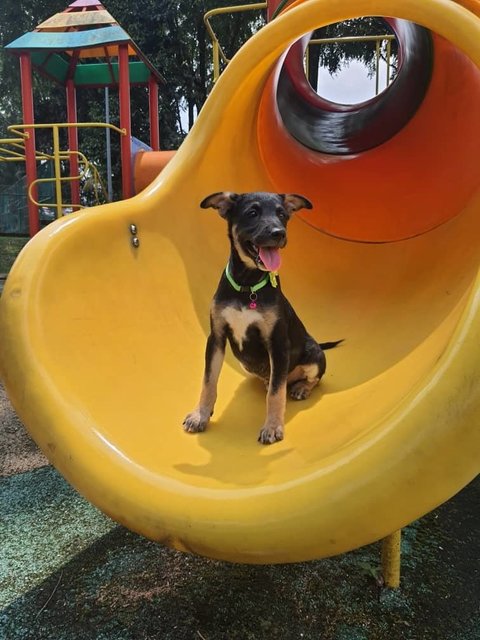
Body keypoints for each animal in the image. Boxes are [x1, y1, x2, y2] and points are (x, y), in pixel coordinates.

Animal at [182, 191, 340, 444]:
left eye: (282, 214)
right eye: (252, 212)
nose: (279, 233)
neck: (247, 286)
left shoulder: (277, 344)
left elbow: (276, 394)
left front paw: (273, 427)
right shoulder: (216, 337)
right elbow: (208, 381)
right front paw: (200, 416)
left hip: (313, 354)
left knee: (312, 379)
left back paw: (301, 388)